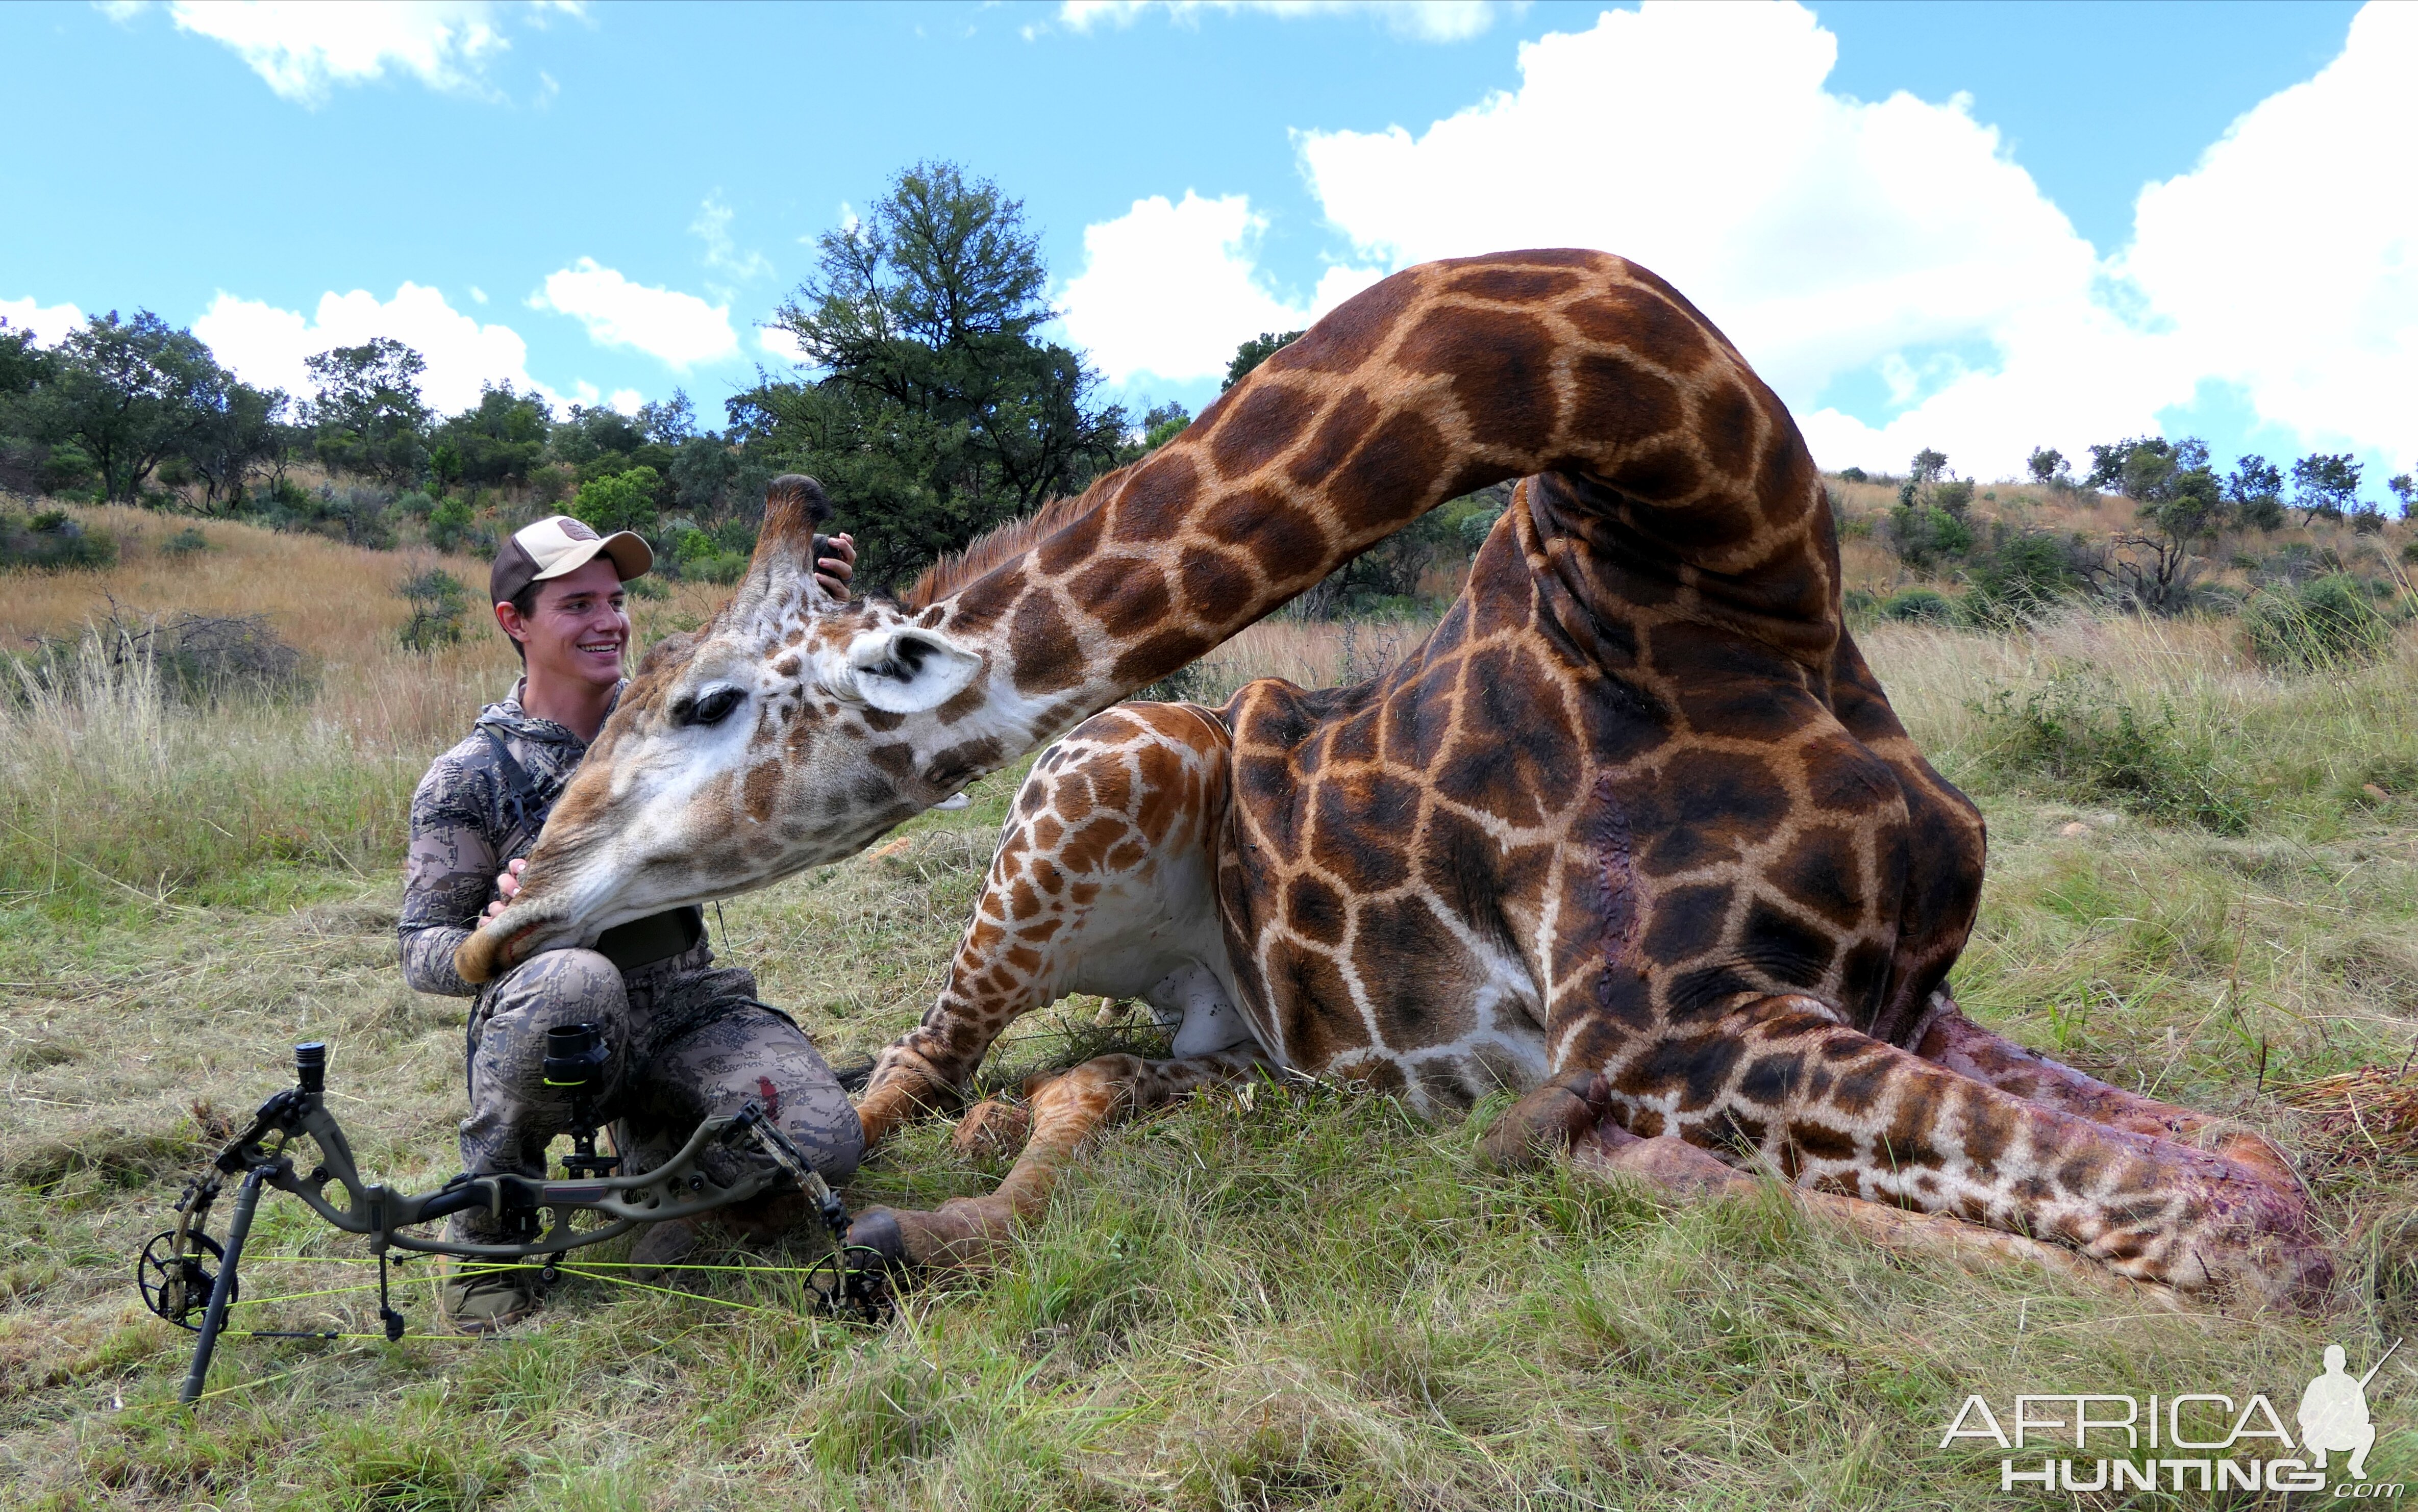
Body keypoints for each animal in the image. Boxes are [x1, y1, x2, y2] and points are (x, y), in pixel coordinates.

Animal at [462, 250, 2331, 1306]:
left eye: (704, 701)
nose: (500, 912)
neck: (1726, 561)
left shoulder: (1894, 990)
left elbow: (2259, 1178)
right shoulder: (1671, 1025)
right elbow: (2248, 1235)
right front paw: (1582, 1153)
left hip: (1239, 1042)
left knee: (1101, 1078)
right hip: (1119, 755)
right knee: (902, 1075)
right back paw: (822, 1208)